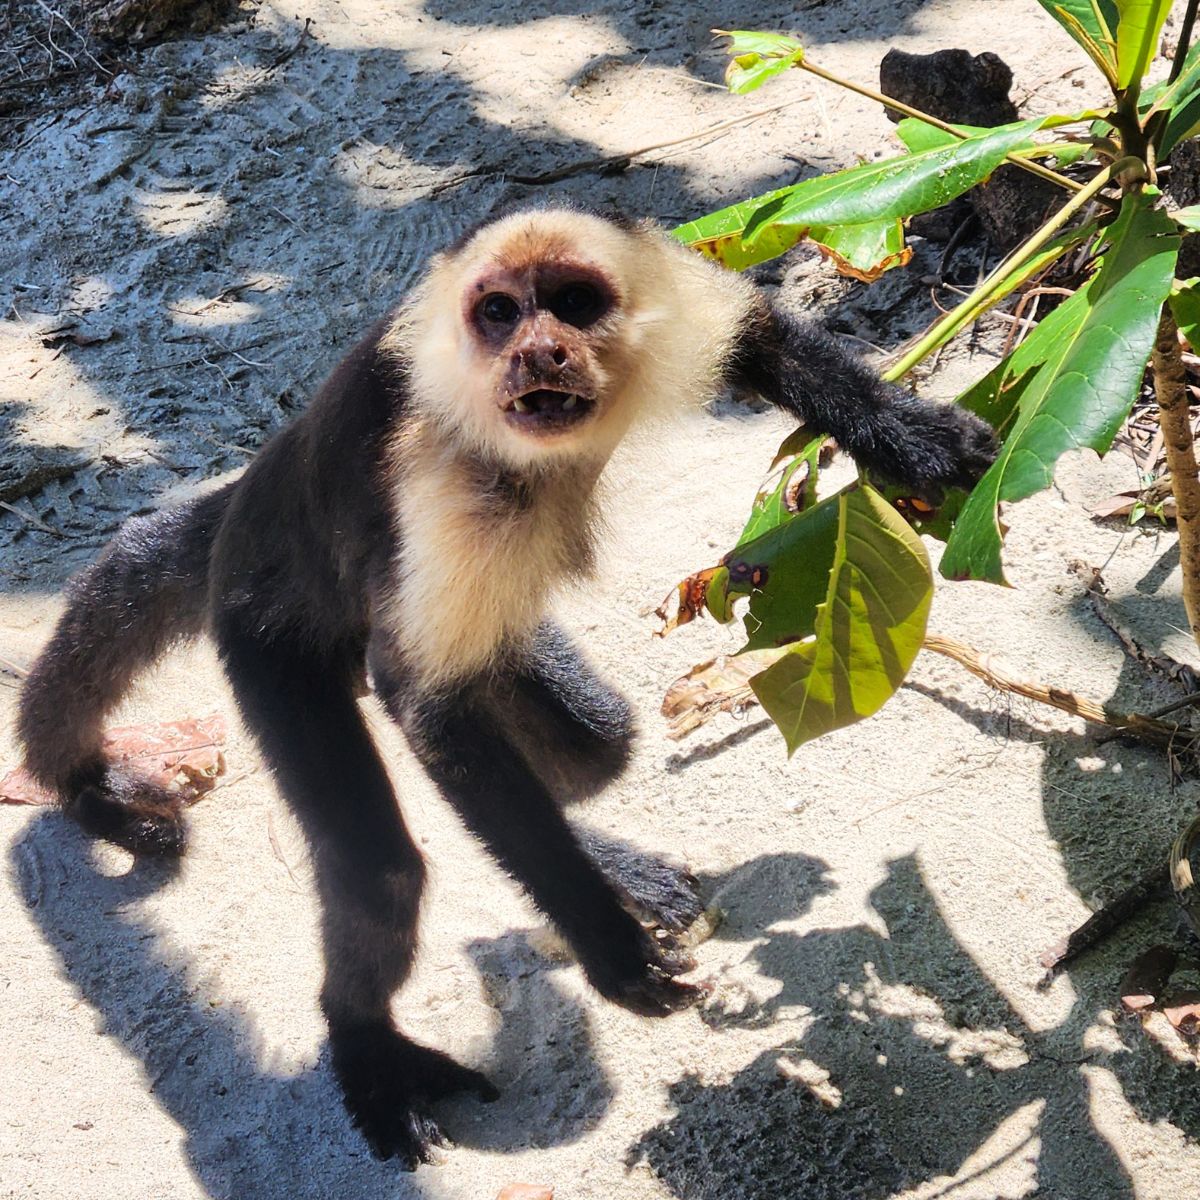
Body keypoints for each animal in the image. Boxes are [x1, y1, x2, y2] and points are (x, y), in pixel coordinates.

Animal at [17, 206, 996, 1168]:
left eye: (572, 301)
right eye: (498, 314)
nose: (538, 352)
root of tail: (247, 505)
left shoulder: (661, 295)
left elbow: (758, 333)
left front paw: (910, 435)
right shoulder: (444, 469)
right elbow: (427, 704)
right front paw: (608, 950)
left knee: (598, 739)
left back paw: (609, 860)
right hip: (267, 643)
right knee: (380, 867)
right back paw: (367, 1046)